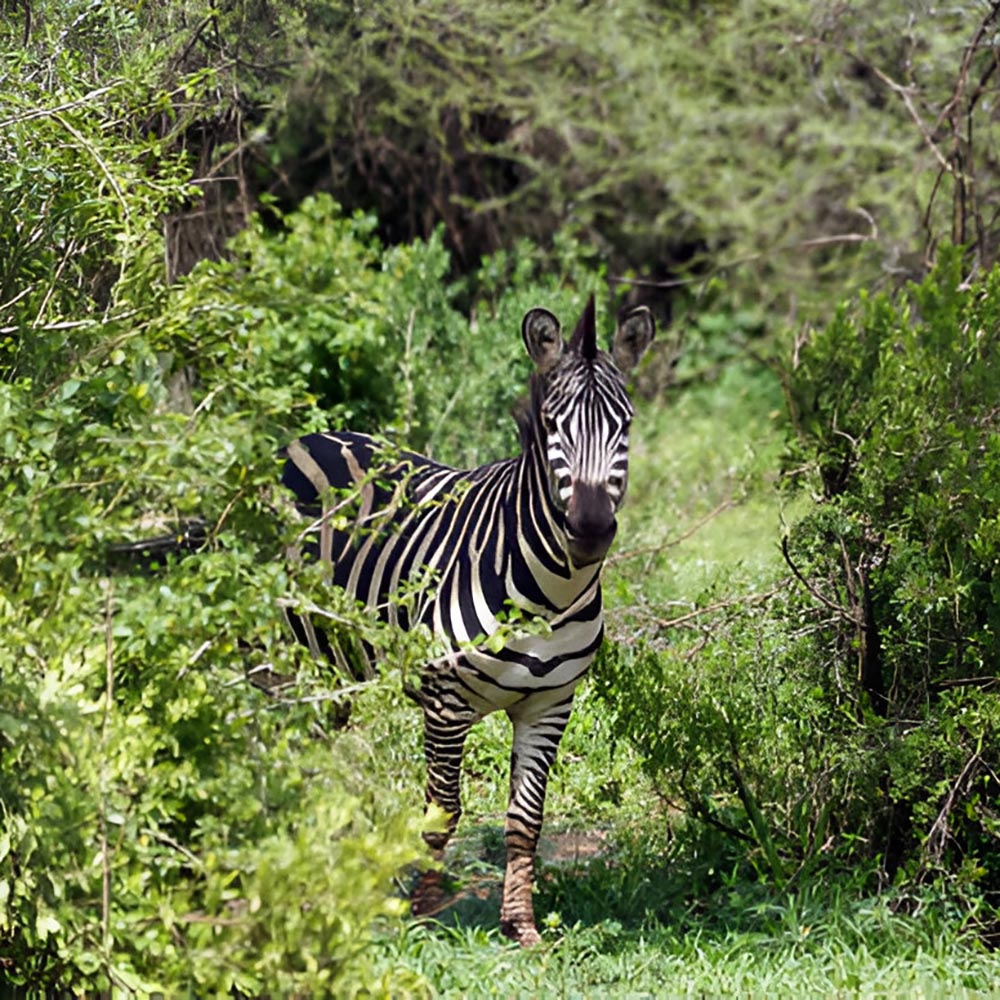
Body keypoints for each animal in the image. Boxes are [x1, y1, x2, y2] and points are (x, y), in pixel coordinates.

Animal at [282, 294, 656, 944]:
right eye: (552, 425)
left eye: (625, 426)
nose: (588, 531)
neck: (550, 590)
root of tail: (312, 434)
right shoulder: (446, 701)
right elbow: (442, 811)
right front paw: (424, 912)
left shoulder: (549, 704)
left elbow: (525, 819)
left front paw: (521, 925)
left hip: (335, 664)